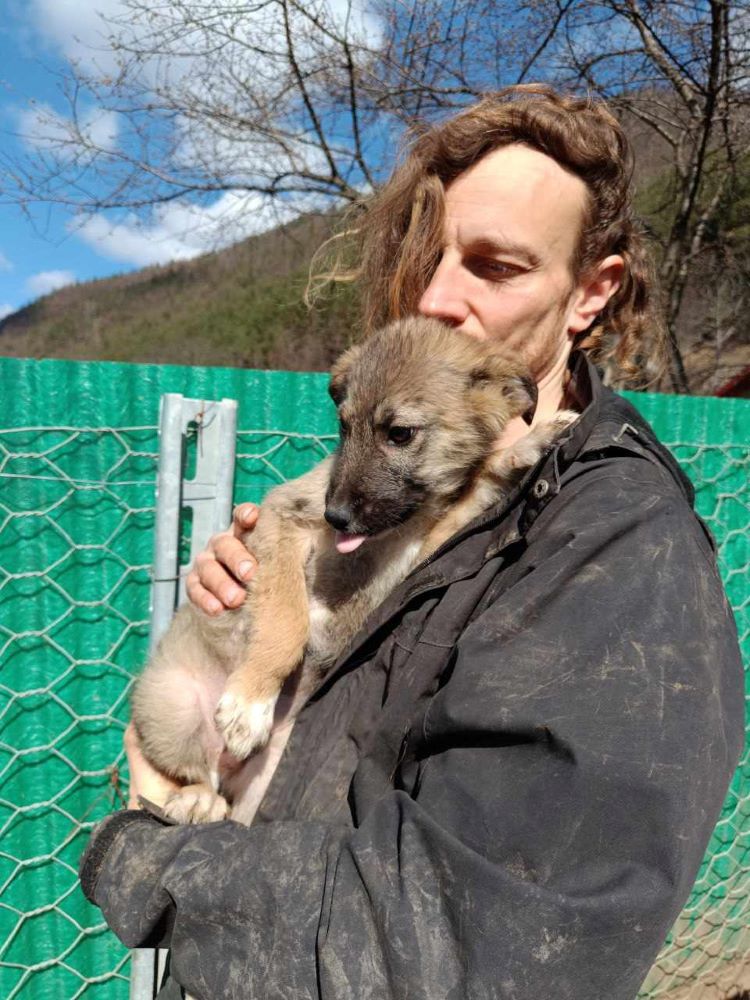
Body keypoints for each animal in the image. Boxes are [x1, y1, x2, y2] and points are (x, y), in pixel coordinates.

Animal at [132, 316, 576, 824]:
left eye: (399, 433)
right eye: (344, 427)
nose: (336, 517)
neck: (401, 527)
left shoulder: (422, 547)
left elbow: (480, 484)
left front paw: (530, 445)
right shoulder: (282, 518)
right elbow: (285, 620)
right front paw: (250, 704)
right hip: (172, 705)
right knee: (197, 771)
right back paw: (196, 799)